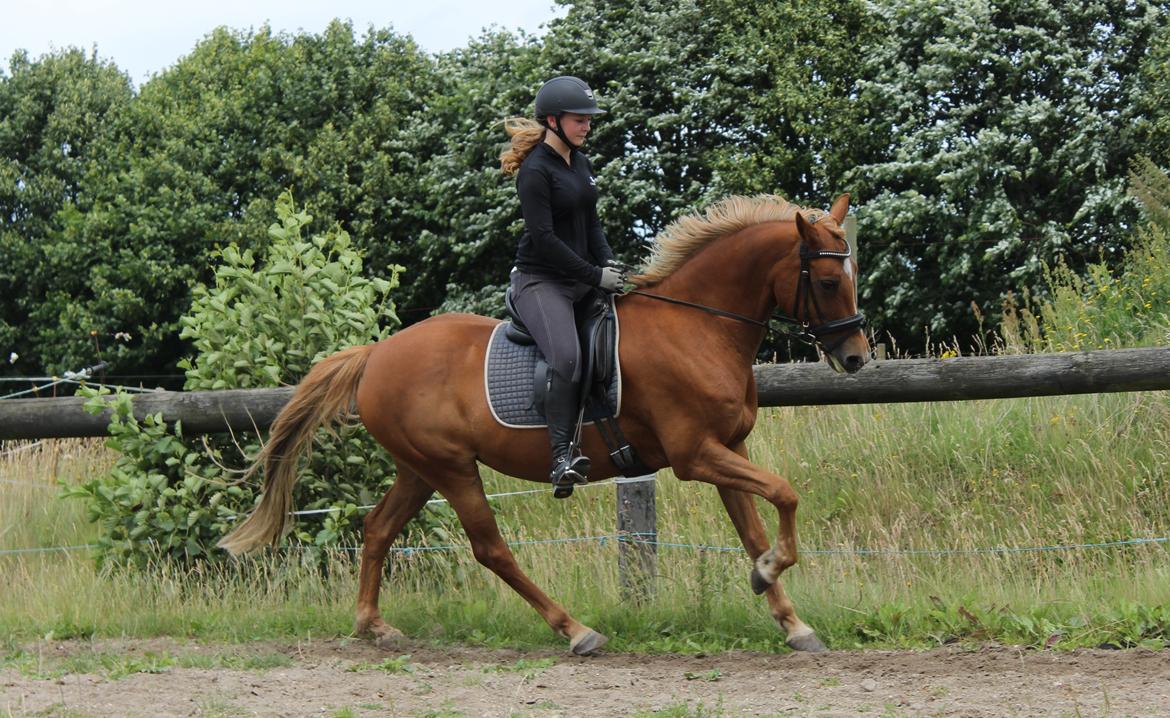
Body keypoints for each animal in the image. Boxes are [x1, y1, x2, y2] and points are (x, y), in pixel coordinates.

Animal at [223, 194, 875, 654]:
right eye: (825, 282)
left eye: (852, 277)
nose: (855, 359)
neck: (697, 326)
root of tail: (376, 354)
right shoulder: (696, 455)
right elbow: (786, 494)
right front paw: (769, 577)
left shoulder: (727, 449)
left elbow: (756, 529)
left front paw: (789, 617)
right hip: (451, 469)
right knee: (490, 548)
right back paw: (576, 630)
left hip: (419, 469)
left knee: (379, 528)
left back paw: (372, 626)